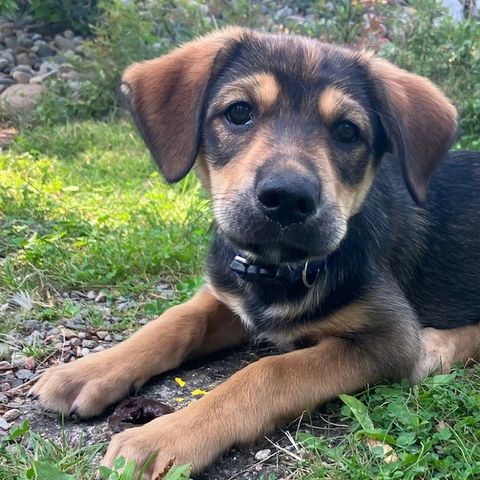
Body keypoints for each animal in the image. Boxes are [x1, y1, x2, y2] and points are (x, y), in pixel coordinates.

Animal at [30, 29, 480, 476]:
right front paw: (88, 370)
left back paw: (436, 348)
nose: (288, 199)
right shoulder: (228, 297)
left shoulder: (388, 338)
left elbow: (269, 371)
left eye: (348, 131)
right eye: (239, 112)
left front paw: (164, 436)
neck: (278, 270)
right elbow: (174, 322)